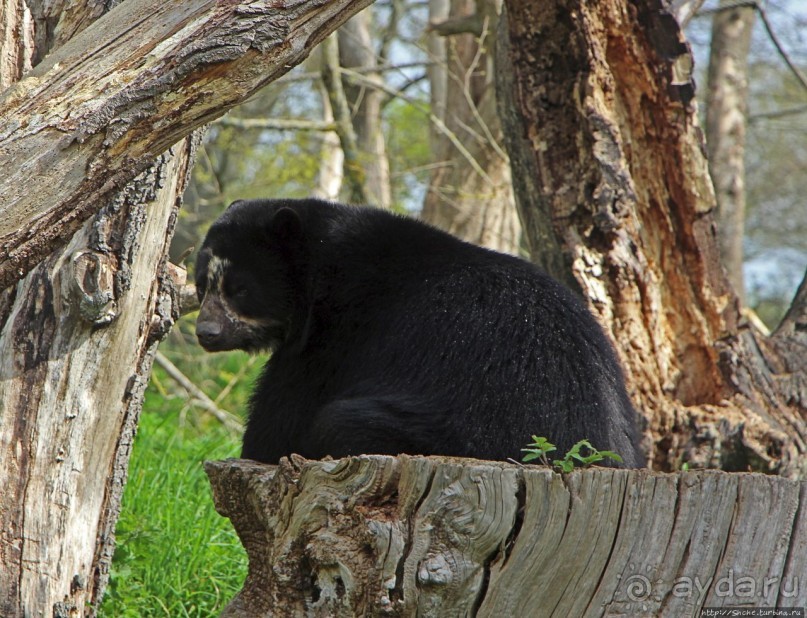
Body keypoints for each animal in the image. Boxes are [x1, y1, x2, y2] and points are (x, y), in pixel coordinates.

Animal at [194, 200, 644, 464]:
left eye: (240, 289)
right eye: (202, 285)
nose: (206, 332)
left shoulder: (337, 335)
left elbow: (285, 410)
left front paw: (259, 451)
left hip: (461, 433)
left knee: (339, 421)